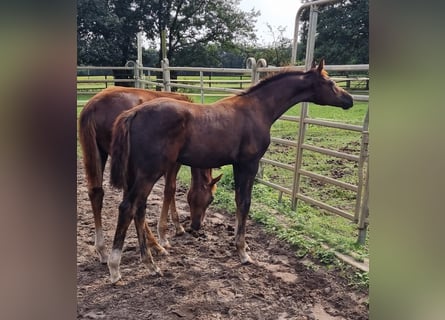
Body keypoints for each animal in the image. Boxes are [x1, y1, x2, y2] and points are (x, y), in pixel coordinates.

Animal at [79, 86, 221, 264]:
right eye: (211, 200)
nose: (196, 226)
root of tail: (92, 107)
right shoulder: (173, 163)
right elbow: (170, 190)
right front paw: (165, 235)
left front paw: (177, 226)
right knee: (131, 202)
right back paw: (155, 245)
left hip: (100, 154)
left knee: (97, 193)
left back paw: (103, 250)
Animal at [106, 60, 350, 282]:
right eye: (330, 82)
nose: (348, 100)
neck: (257, 109)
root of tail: (133, 113)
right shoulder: (249, 164)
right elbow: (245, 202)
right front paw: (242, 251)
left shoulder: (237, 165)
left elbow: (238, 201)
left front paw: (242, 244)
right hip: (150, 171)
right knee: (128, 207)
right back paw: (122, 267)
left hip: (138, 172)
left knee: (138, 209)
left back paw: (147, 259)